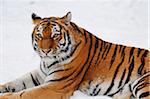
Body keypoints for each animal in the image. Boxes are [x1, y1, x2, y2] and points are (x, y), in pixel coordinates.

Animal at [0, 12, 149, 98]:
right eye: (39, 35)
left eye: (55, 35)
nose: (45, 51)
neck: (47, 62)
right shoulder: (39, 75)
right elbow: (16, 82)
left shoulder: (55, 86)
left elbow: (22, 94)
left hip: (142, 84)